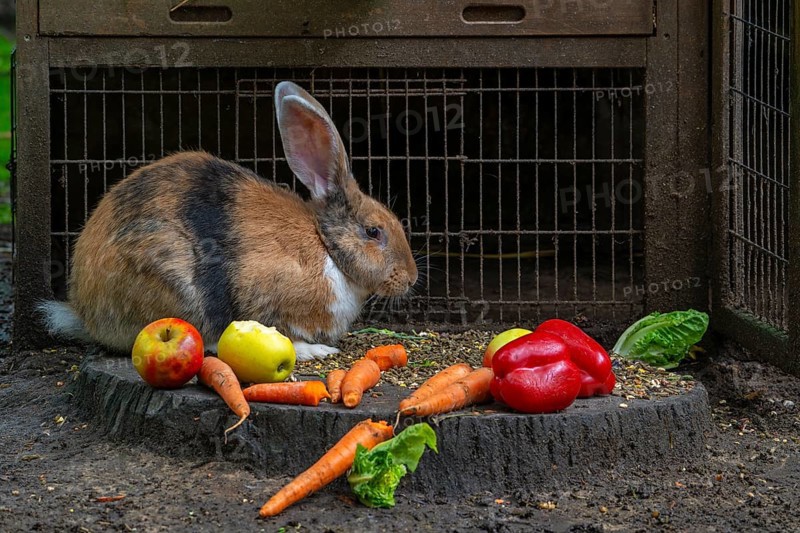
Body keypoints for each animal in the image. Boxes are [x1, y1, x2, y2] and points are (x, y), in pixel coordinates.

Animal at [40, 81, 418, 361]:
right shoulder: (265, 300)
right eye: (373, 231)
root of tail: (83, 308)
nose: (411, 278)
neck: (326, 246)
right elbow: (278, 332)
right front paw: (315, 350)